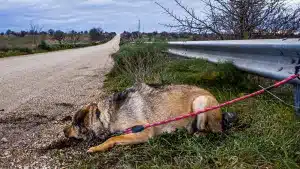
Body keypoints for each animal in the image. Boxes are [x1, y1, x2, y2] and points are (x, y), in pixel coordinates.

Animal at [63, 83, 237, 153]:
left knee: (215, 132)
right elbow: (115, 137)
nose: (64, 131)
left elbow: (112, 138)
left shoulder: (143, 132)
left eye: (73, 123)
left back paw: (198, 134)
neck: (104, 115)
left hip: (200, 102)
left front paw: (96, 147)